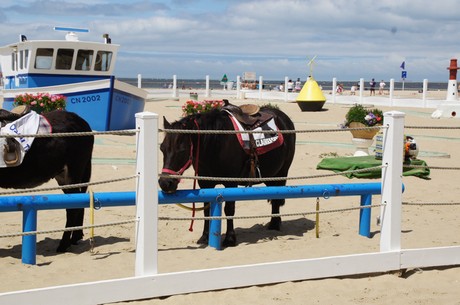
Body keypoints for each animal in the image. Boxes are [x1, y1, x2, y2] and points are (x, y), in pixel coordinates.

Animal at [0, 109, 93, 252]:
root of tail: (83, 122)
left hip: (73, 173)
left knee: (73, 208)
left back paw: (63, 244)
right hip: (65, 176)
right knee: (79, 201)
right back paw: (75, 238)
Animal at [158, 103, 294, 246]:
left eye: (182, 150)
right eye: (162, 148)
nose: (165, 183)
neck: (215, 144)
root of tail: (283, 117)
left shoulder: (231, 183)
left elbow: (229, 209)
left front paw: (230, 238)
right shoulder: (205, 183)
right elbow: (207, 210)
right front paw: (205, 237)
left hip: (281, 173)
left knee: (277, 198)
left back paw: (274, 224)